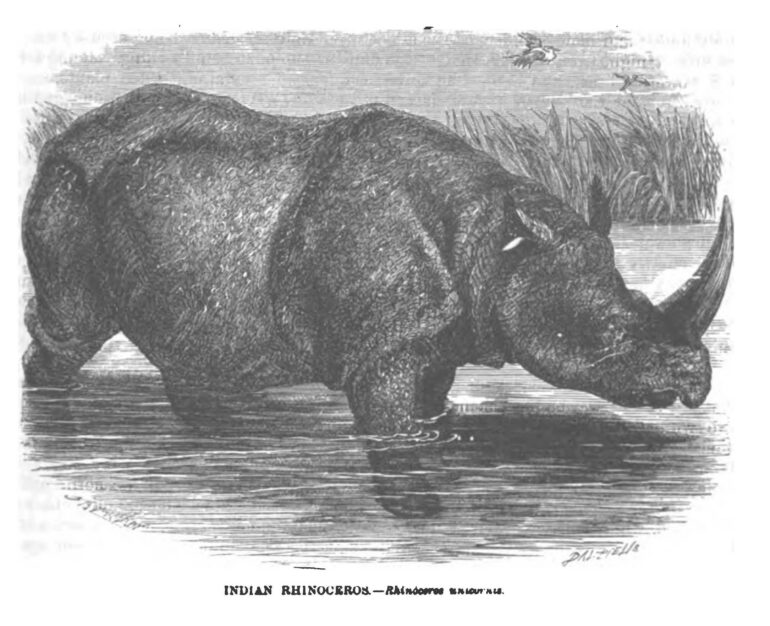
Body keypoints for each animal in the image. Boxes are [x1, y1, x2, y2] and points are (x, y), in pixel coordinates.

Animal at [22, 84, 733, 435]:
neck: (499, 245)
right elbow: (390, 426)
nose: (696, 377)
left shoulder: (438, 336)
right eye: (611, 331)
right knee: (71, 332)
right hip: (67, 185)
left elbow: (431, 405)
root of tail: (64, 136)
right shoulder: (378, 351)